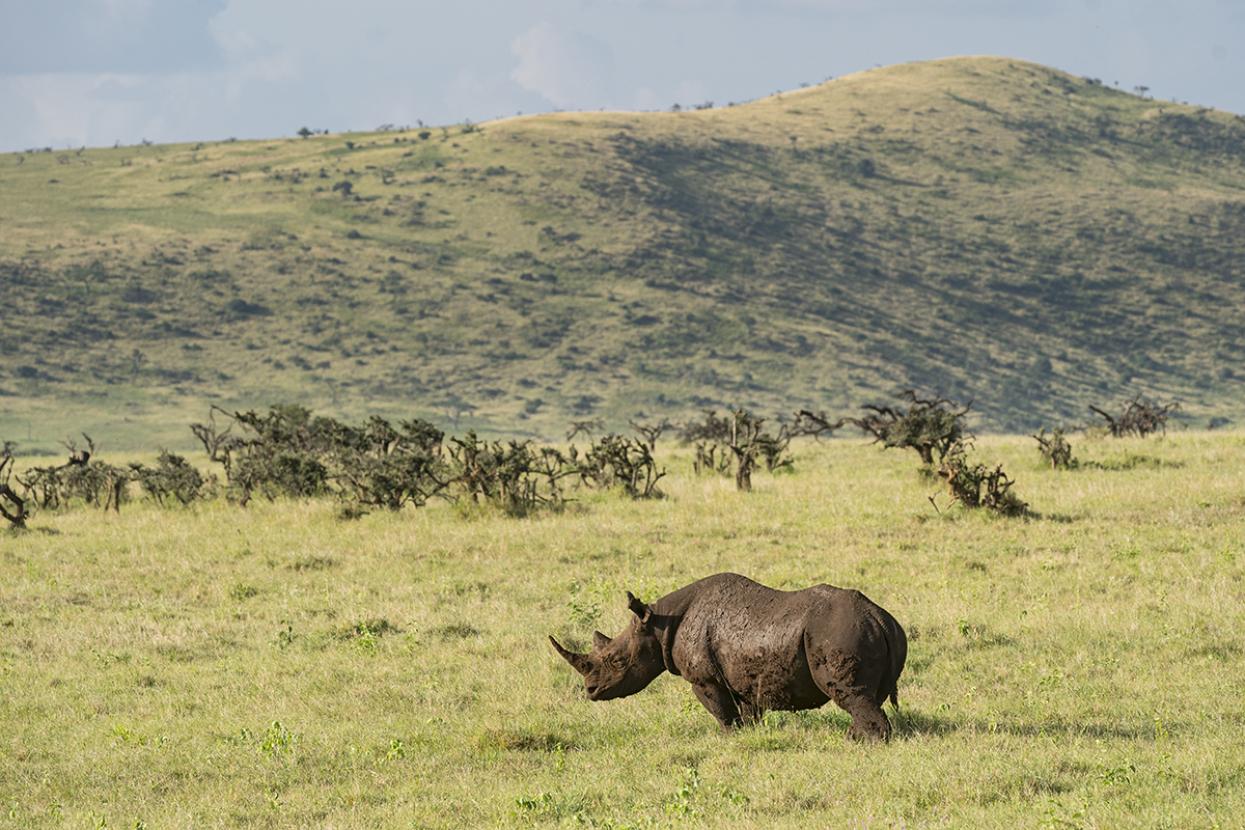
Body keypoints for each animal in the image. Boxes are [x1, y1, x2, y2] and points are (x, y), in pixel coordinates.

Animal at [549, 572, 906, 741]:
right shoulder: (745, 678)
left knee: (852, 695)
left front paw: (731, 738)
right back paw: (853, 738)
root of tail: (880, 618)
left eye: (617, 662)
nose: (590, 691)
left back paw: (861, 744)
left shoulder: (705, 679)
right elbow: (748, 713)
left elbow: (722, 714)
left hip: (840, 631)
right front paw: (751, 736)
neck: (660, 624)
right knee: (864, 697)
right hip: (870, 628)